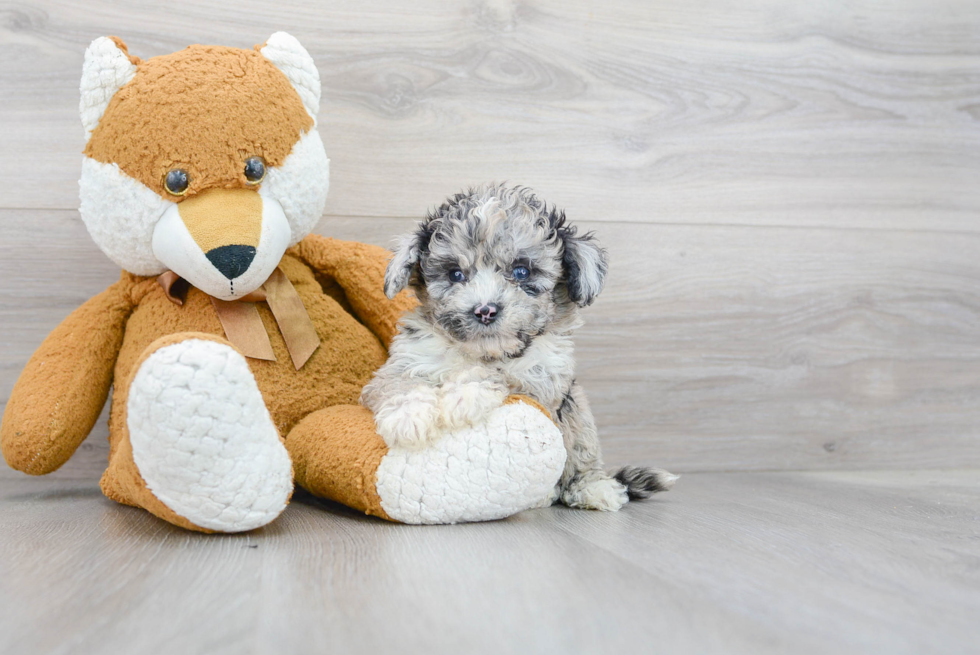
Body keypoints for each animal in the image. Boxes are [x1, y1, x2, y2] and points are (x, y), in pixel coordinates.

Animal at [364, 184, 676, 512]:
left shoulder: (543, 383)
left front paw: (465, 395)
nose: (485, 310)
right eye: (455, 274)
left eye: (521, 272)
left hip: (579, 414)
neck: (485, 351)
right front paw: (407, 417)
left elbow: (501, 374)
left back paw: (592, 488)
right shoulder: (402, 362)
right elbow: (397, 383)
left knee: (579, 462)